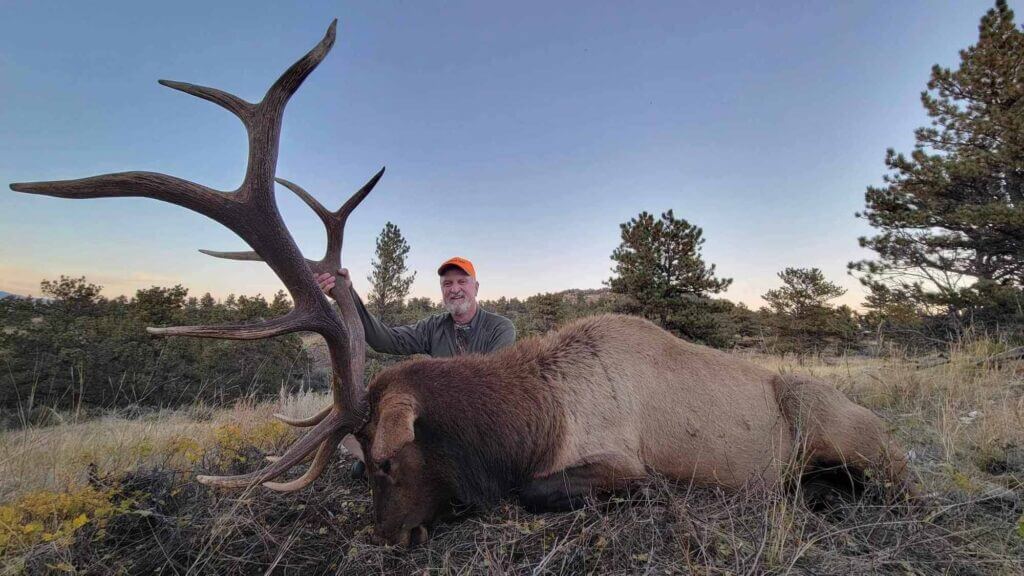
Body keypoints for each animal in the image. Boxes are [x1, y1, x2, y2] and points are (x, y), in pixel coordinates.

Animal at [11, 22, 912, 547]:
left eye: (381, 461)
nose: (382, 540)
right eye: (357, 467)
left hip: (837, 425)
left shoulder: (618, 460)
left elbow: (532, 493)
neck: (529, 415)